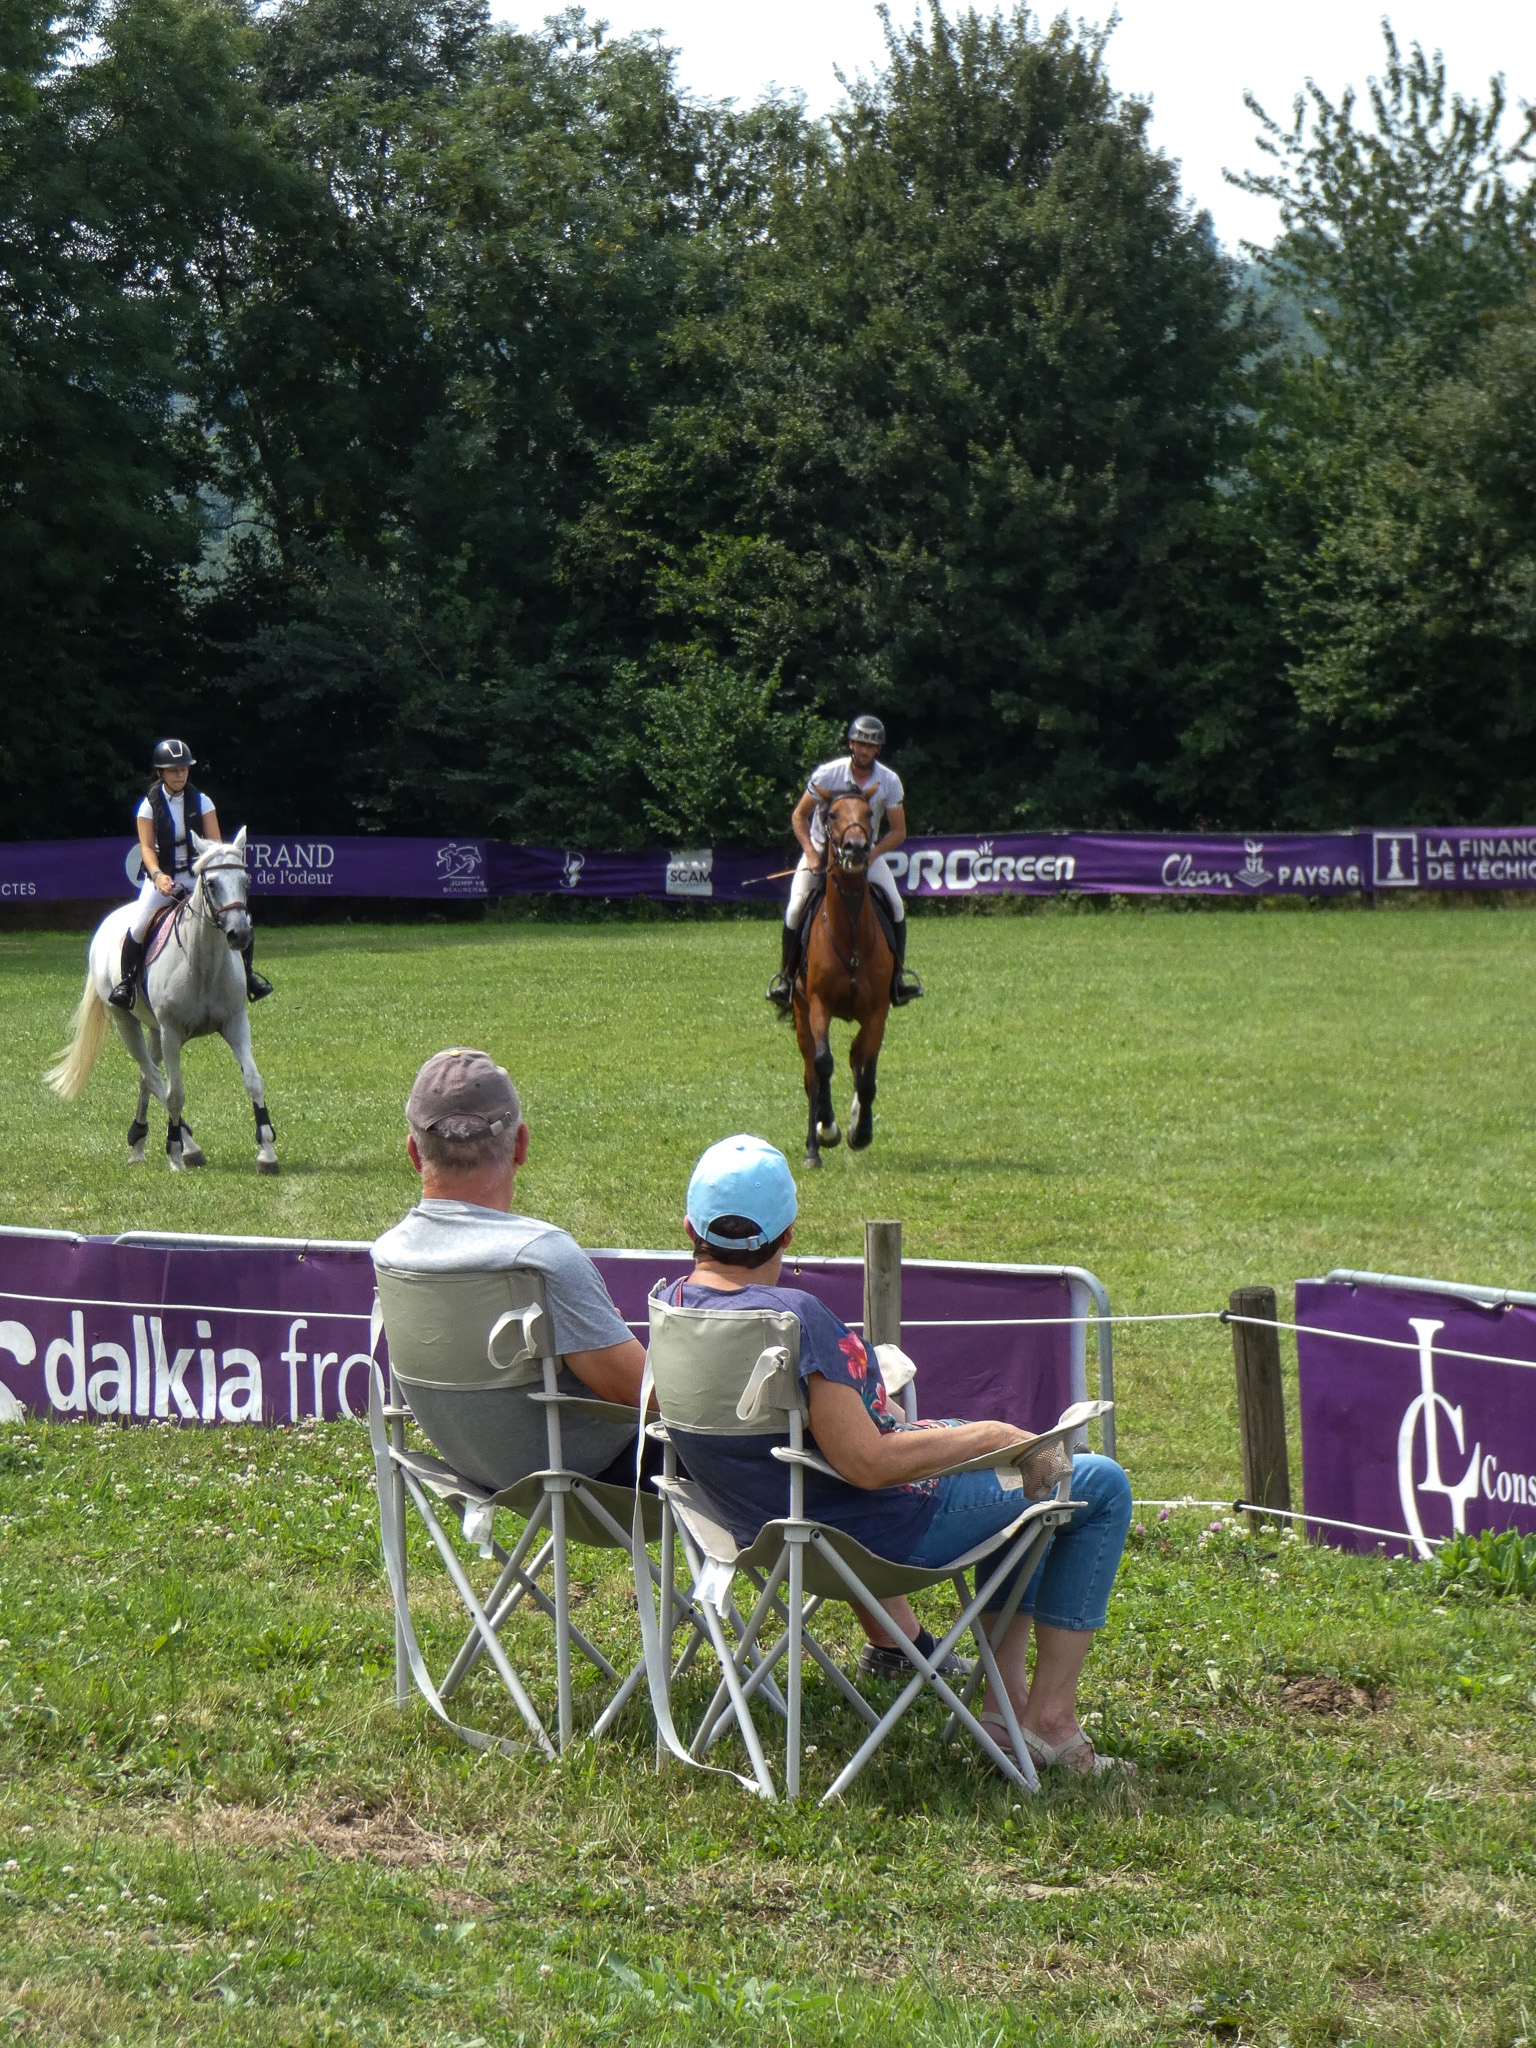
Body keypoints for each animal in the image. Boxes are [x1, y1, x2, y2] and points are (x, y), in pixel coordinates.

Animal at [45, 830, 279, 1174]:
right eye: (211, 884)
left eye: (246, 880)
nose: (240, 935)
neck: (204, 965)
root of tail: (109, 922)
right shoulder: (172, 1034)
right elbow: (175, 1094)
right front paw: (175, 1153)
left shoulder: (235, 1023)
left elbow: (253, 1080)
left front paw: (266, 1152)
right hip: (126, 1021)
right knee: (154, 1078)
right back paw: (184, 1146)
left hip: (153, 1028)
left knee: (148, 1076)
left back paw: (140, 1144)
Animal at [792, 788, 895, 1169]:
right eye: (833, 815)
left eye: (869, 813)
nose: (855, 848)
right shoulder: (818, 1005)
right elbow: (823, 1065)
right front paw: (828, 1129)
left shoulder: (877, 1012)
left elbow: (866, 1077)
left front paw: (860, 1132)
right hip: (799, 1010)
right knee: (811, 1075)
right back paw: (813, 1148)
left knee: (857, 1058)